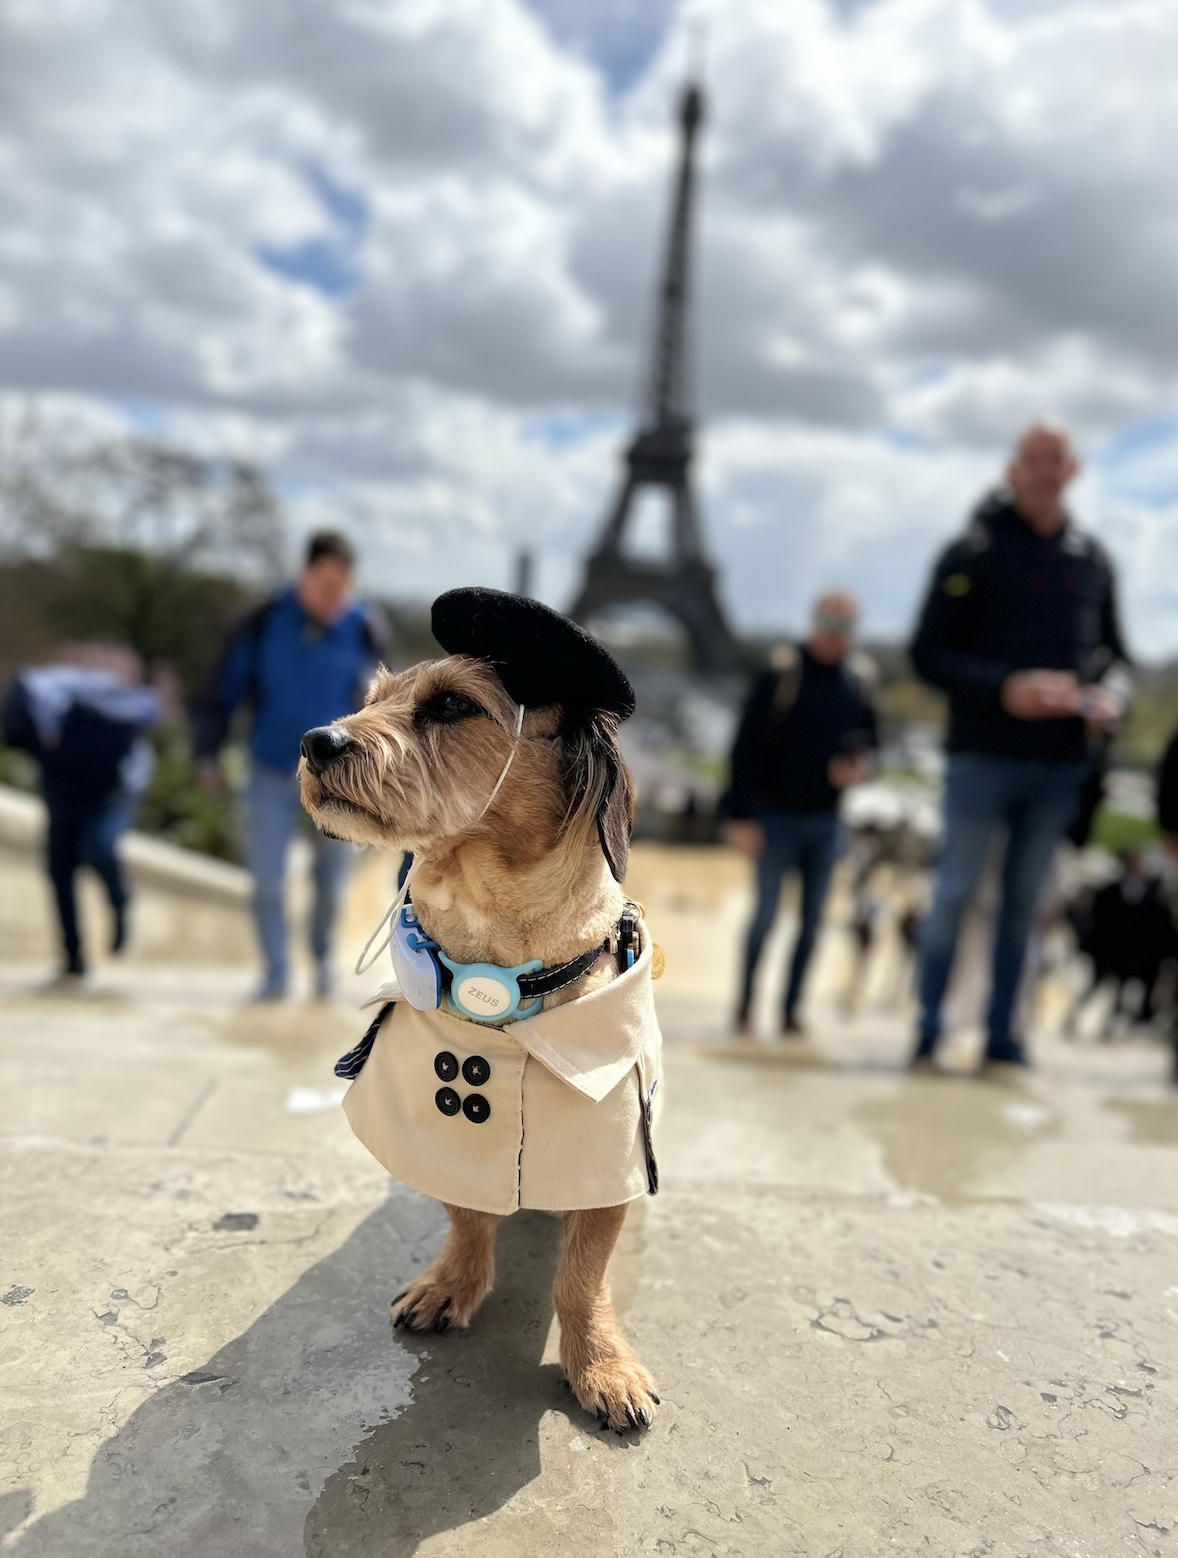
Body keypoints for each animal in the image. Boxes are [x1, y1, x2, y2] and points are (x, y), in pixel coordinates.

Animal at [296, 585, 663, 1433]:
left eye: (453, 704)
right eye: (373, 698)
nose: (313, 739)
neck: (495, 960)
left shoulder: (607, 1158)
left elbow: (581, 1277)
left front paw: (600, 1364)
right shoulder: (443, 1140)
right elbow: (466, 1214)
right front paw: (453, 1282)